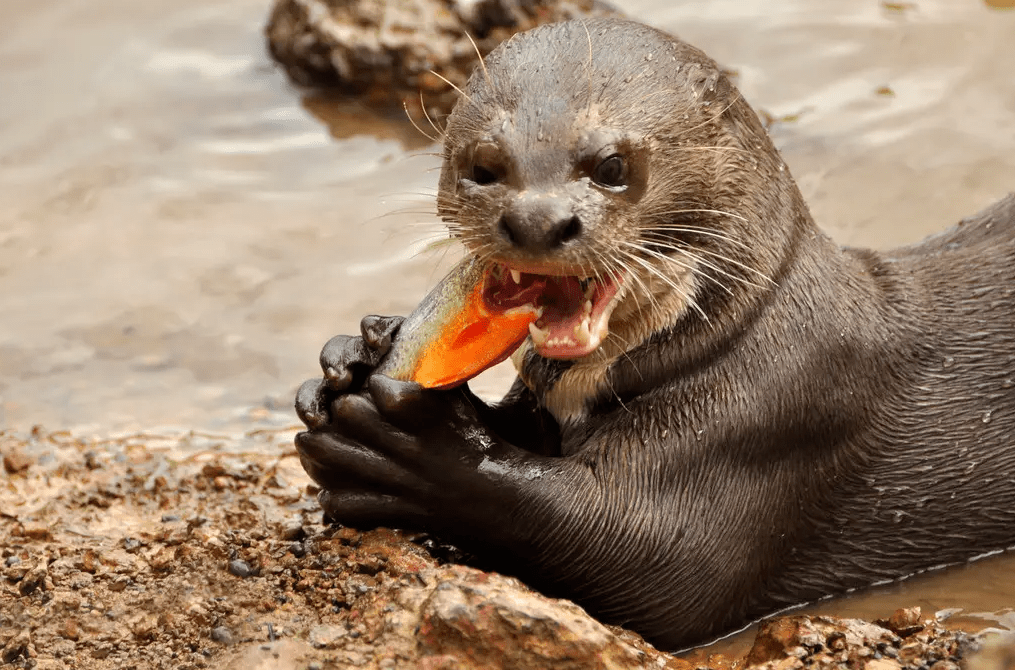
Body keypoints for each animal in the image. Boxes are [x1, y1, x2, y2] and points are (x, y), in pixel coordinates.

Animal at [292, 17, 1015, 649]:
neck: (746, 333)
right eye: (484, 164)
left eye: (611, 165)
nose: (535, 220)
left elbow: (652, 559)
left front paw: (411, 449)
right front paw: (358, 350)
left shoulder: (779, 410)